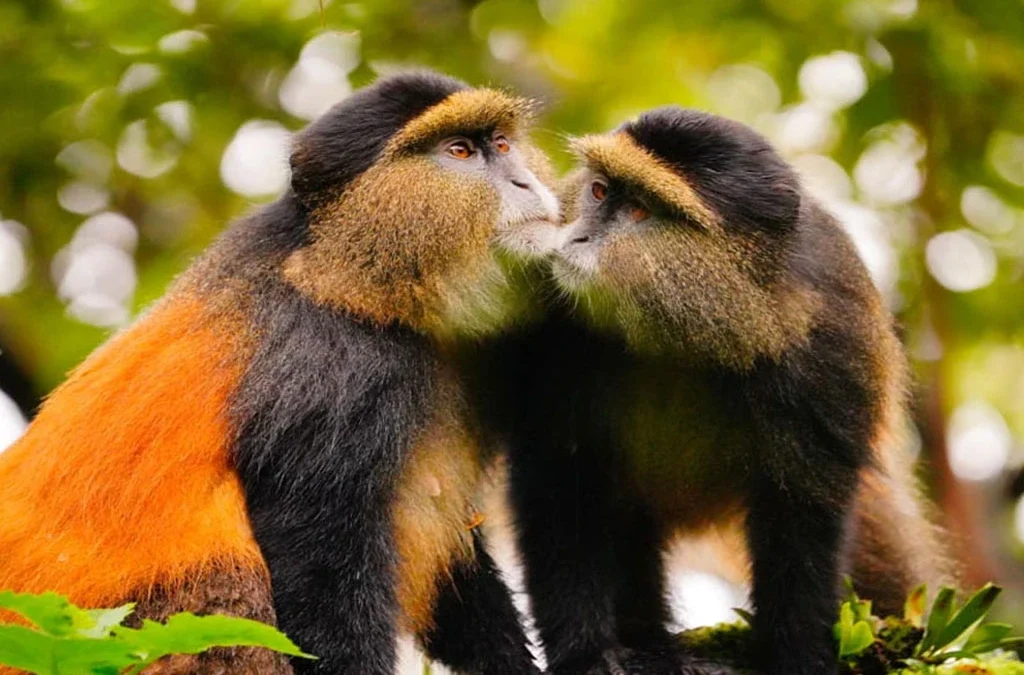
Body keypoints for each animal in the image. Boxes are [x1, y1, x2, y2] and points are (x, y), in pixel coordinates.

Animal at [0, 70, 561, 675]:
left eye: (500, 144)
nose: (525, 181)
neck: (348, 279)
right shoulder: (338, 377)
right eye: (458, 151)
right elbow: (319, 578)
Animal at [471, 107, 953, 675]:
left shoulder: (829, 353)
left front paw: (796, 658)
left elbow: (801, 522)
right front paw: (588, 655)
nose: (575, 239)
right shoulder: (554, 336)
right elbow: (560, 487)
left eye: (638, 210)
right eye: (598, 190)